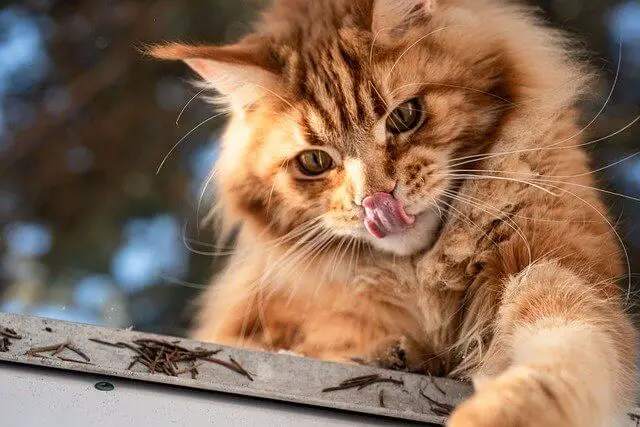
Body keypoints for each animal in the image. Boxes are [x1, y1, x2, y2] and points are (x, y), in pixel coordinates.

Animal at [152, 1, 636, 426]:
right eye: (314, 162)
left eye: (405, 116)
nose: (375, 201)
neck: (422, 275)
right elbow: (324, 341)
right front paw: (393, 353)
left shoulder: (551, 264)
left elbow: (558, 357)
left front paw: (503, 413)